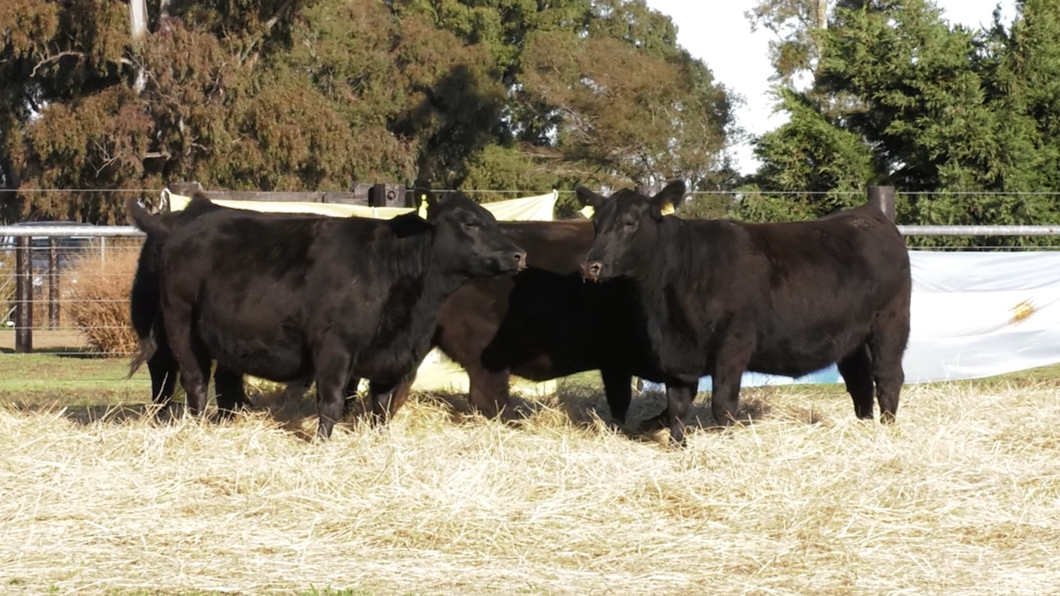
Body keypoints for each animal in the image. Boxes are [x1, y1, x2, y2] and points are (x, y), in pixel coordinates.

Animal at [126, 189, 523, 436]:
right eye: (470, 222)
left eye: (491, 217)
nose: (519, 254)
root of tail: (194, 215)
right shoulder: (335, 347)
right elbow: (331, 402)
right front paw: (322, 443)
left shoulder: (390, 357)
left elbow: (381, 408)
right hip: (180, 325)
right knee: (190, 381)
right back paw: (196, 426)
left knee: (222, 382)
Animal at [580, 181, 911, 445]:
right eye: (596, 223)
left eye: (630, 222)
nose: (590, 265)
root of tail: (870, 213)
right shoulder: (677, 356)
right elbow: (677, 405)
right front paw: (678, 446)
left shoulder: (733, 346)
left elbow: (722, 405)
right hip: (850, 337)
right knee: (859, 380)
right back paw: (864, 427)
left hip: (890, 321)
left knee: (888, 376)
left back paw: (887, 430)